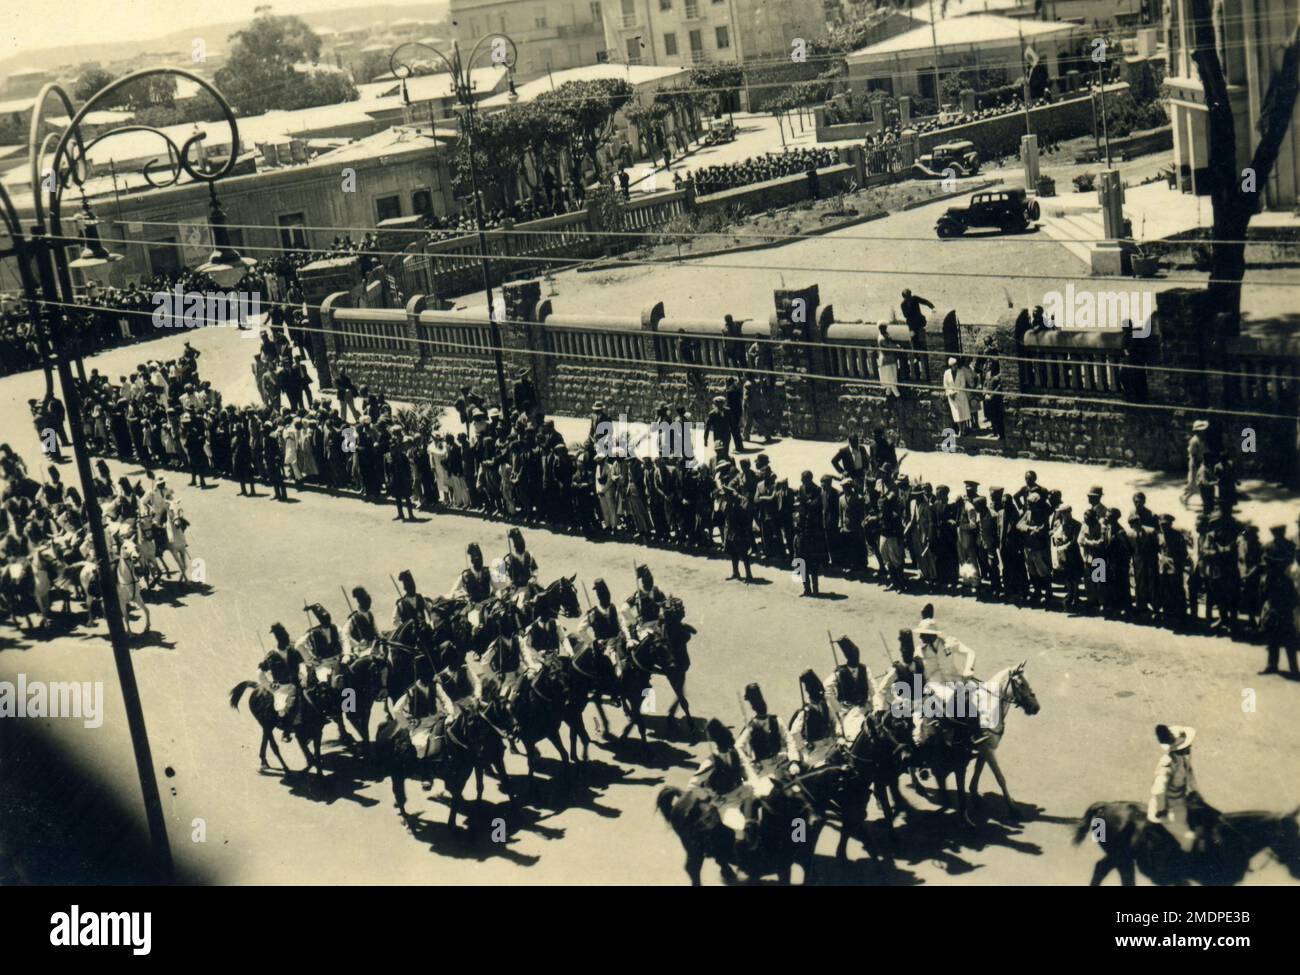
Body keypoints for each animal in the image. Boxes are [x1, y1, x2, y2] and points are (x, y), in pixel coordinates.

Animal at [371, 707, 512, 837]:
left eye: (484, 725)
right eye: (470, 722)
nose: (483, 750)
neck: (452, 743)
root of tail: (386, 727)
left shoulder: (463, 776)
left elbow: (459, 796)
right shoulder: (454, 777)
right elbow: (457, 796)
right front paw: (452, 824)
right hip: (396, 773)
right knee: (400, 796)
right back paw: (407, 822)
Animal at [972, 665, 1040, 816]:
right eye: (1021, 684)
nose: (1036, 707)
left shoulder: (985, 749)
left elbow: (978, 771)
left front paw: (974, 794)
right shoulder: (987, 749)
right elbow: (1000, 778)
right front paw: (1012, 807)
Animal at [1071, 795, 1300, 889]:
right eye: (1288, 834)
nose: (1296, 870)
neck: (1228, 837)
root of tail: (1106, 806)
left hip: (1120, 857)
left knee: (1106, 869)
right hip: (1121, 856)